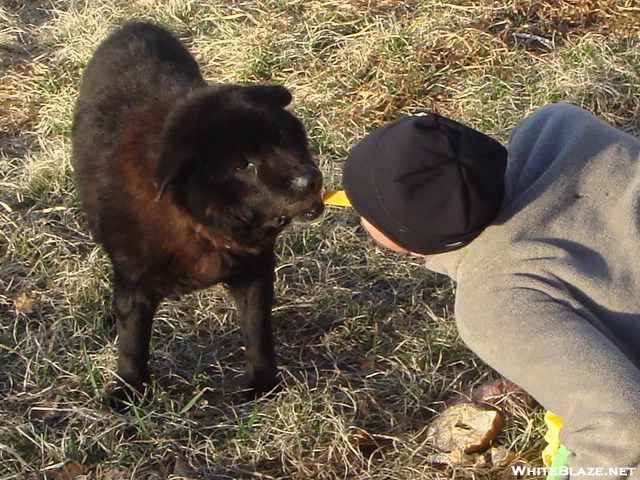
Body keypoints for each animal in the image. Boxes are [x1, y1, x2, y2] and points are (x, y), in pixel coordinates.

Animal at [74, 21, 324, 404]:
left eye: (282, 134)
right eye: (242, 164)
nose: (310, 179)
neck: (198, 218)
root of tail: (136, 25)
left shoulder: (255, 274)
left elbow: (257, 332)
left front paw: (263, 384)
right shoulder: (135, 286)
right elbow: (133, 343)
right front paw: (129, 390)